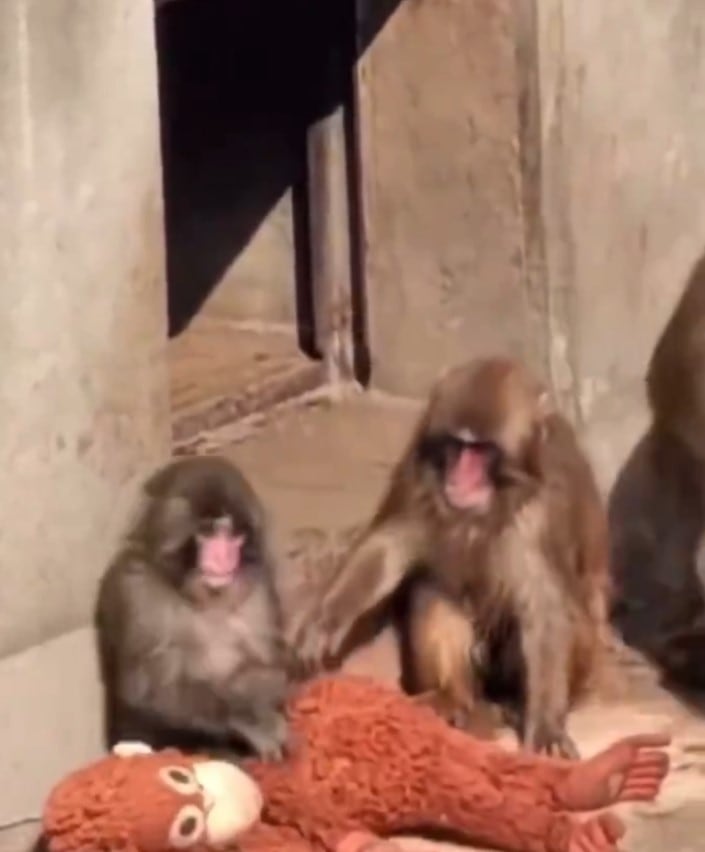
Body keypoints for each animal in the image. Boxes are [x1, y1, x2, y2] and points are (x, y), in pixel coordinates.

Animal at [95, 455, 292, 762]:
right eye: (208, 532)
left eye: (234, 536)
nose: (225, 560)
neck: (200, 598)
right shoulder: (134, 593)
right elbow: (150, 691)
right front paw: (248, 716)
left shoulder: (259, 588)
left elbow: (268, 666)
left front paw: (260, 705)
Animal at [293, 357, 611, 758]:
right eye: (458, 447)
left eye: (481, 452)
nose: (459, 479)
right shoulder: (420, 466)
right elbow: (391, 542)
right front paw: (326, 621)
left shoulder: (546, 509)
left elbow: (546, 608)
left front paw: (546, 728)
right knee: (435, 589)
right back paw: (451, 699)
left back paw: (510, 703)